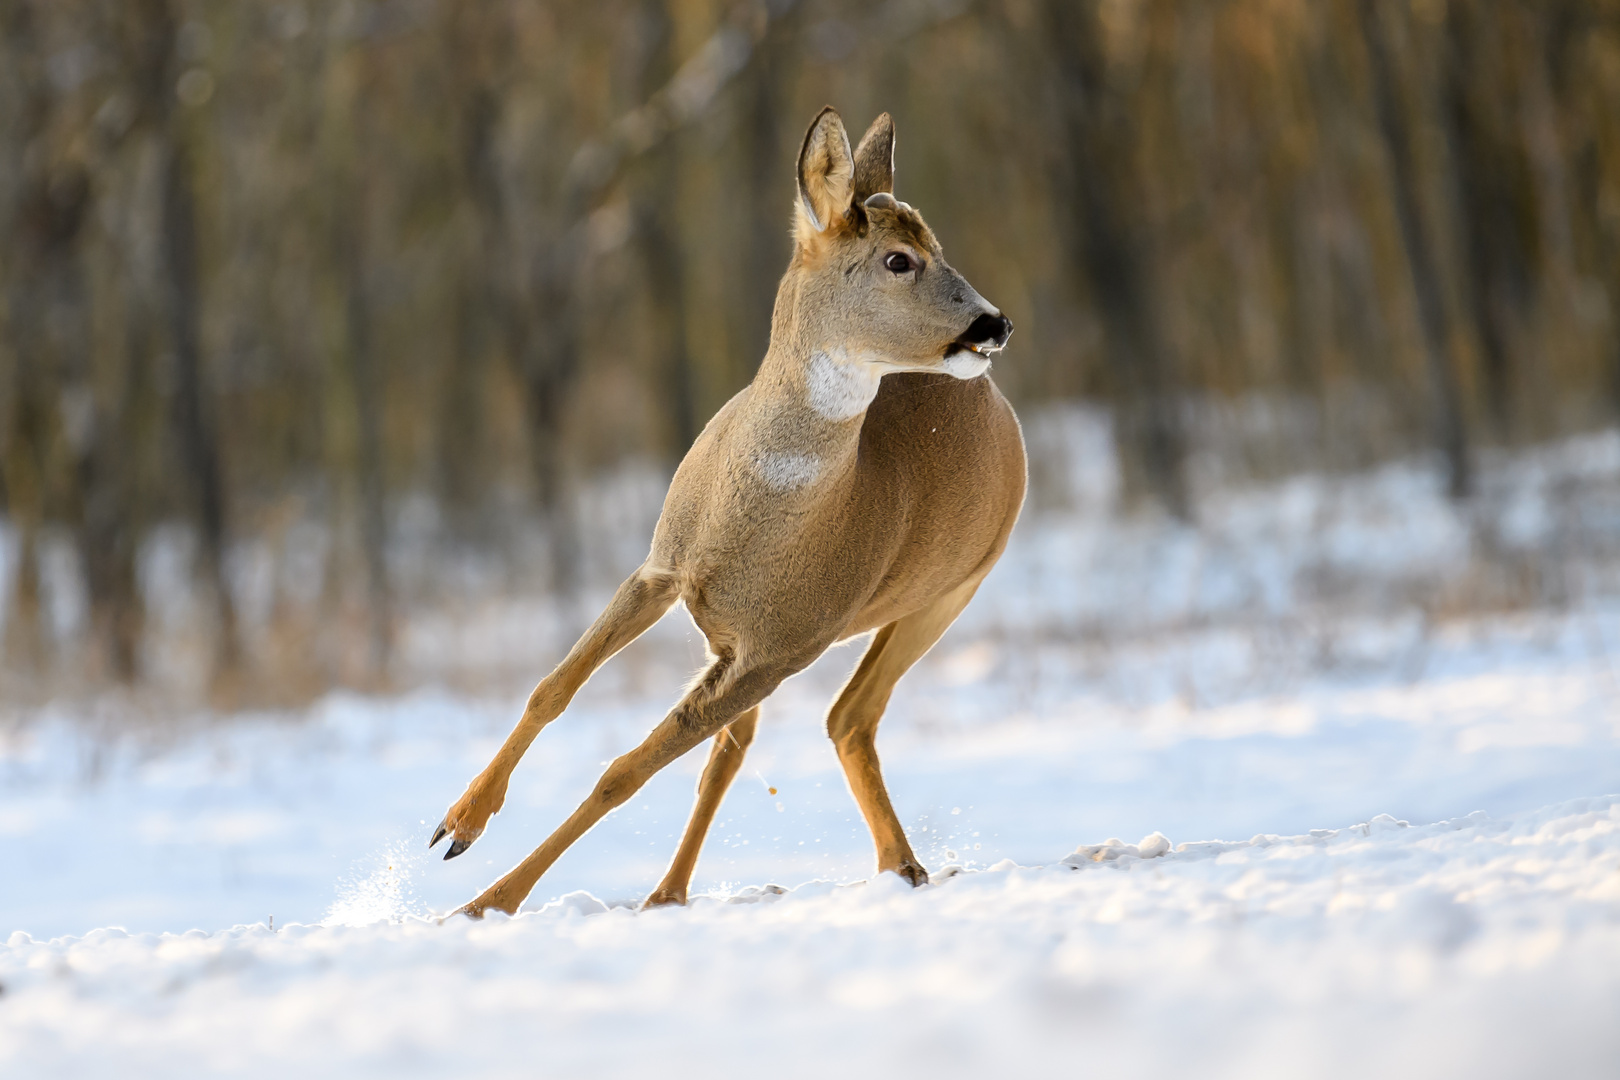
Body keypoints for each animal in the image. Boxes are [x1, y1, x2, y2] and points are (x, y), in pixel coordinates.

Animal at [430, 105, 1023, 919]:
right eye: (900, 258)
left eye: (937, 246)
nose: (994, 325)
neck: (757, 514)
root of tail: (999, 407)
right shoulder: (664, 569)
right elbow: (552, 688)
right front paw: (458, 823)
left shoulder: (781, 647)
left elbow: (622, 772)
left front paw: (486, 902)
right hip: (749, 645)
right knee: (747, 746)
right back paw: (674, 891)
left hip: (946, 594)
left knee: (846, 717)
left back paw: (900, 866)